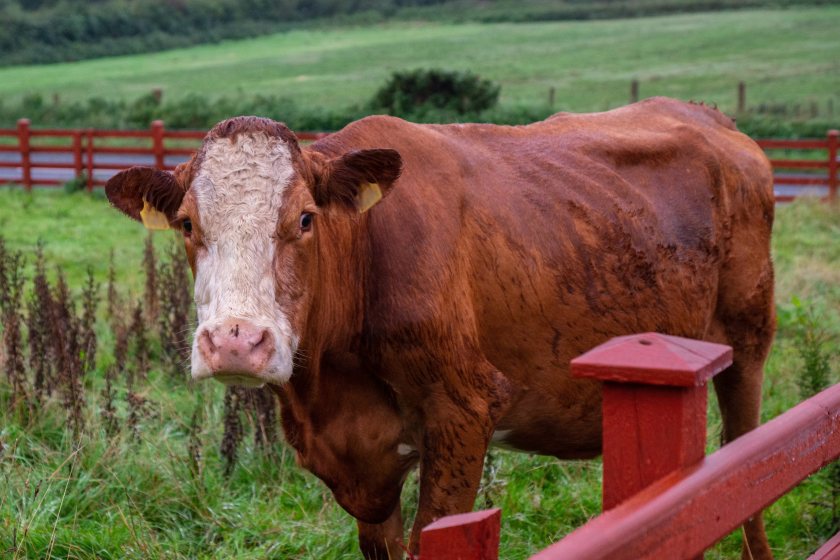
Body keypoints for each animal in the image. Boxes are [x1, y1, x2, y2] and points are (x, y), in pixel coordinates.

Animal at [105, 97, 775, 560]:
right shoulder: (363, 464)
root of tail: (712, 119)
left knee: (750, 461)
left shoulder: (464, 409)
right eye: (187, 224)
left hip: (747, 344)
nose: (236, 342)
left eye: (305, 218)